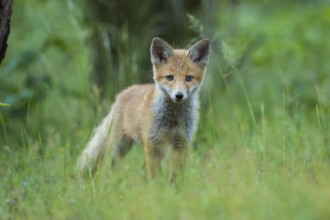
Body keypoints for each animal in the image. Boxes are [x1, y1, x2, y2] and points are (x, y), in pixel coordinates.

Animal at [78, 37, 210, 180]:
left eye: (189, 78)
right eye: (170, 77)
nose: (179, 95)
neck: (173, 119)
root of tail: (122, 94)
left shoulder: (182, 142)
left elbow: (177, 174)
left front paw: (176, 186)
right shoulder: (151, 140)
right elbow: (155, 175)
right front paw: (157, 186)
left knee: (142, 169)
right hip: (118, 147)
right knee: (105, 168)